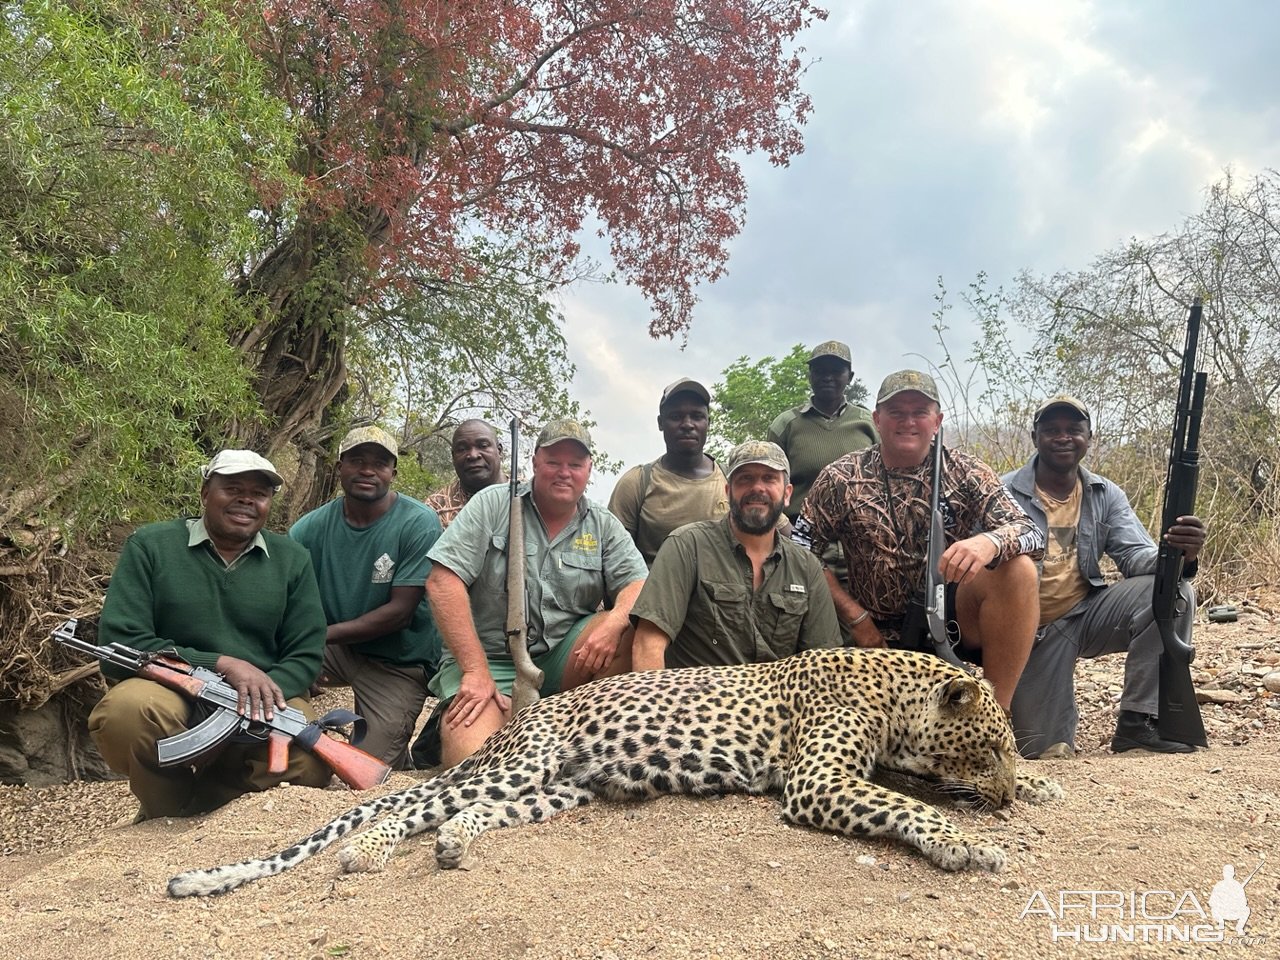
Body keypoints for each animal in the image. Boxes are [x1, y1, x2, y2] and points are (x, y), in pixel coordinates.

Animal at [172, 650, 1070, 901]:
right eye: (987, 745)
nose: (1001, 792)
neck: (895, 694)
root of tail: (527, 718)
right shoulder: (817, 780)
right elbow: (904, 805)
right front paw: (970, 844)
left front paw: (1041, 787)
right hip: (522, 762)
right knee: (412, 804)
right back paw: (369, 852)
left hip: (560, 787)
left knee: (466, 814)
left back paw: (457, 845)